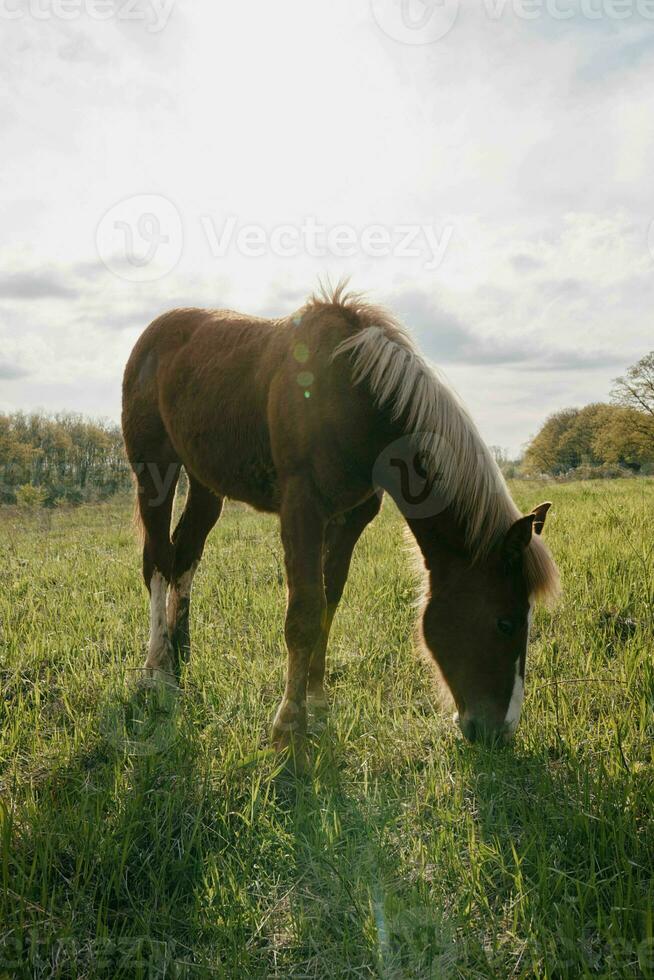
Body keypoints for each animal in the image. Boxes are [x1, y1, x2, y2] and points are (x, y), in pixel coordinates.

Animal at [121, 284, 560, 756]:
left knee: (186, 554)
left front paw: (317, 701)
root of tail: (152, 335)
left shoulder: (350, 521)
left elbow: (329, 604)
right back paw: (157, 672)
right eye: (504, 622)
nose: (501, 731)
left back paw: (179, 655)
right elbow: (304, 613)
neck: (355, 397)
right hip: (155, 473)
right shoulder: (302, 512)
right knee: (158, 561)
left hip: (205, 483)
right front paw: (287, 726)